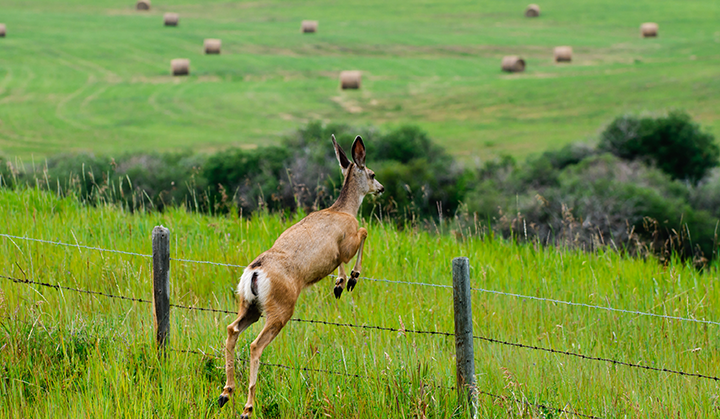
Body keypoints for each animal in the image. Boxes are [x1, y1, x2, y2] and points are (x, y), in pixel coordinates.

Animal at [218, 134, 384, 417]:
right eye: (371, 173)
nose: (381, 188)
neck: (344, 210)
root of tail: (255, 271)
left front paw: (341, 281)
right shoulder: (347, 241)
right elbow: (362, 233)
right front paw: (347, 280)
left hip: (250, 305)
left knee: (232, 330)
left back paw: (226, 393)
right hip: (281, 308)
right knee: (255, 345)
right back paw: (247, 407)